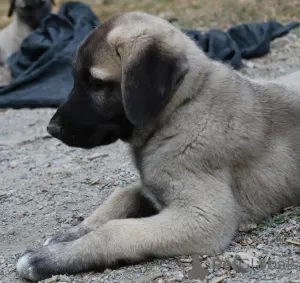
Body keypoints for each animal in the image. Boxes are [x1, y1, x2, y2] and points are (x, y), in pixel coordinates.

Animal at [15, 10, 300, 282]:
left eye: (97, 84)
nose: (51, 129)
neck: (181, 109)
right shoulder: (148, 184)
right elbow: (119, 197)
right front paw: (70, 234)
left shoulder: (205, 216)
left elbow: (115, 229)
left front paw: (46, 259)